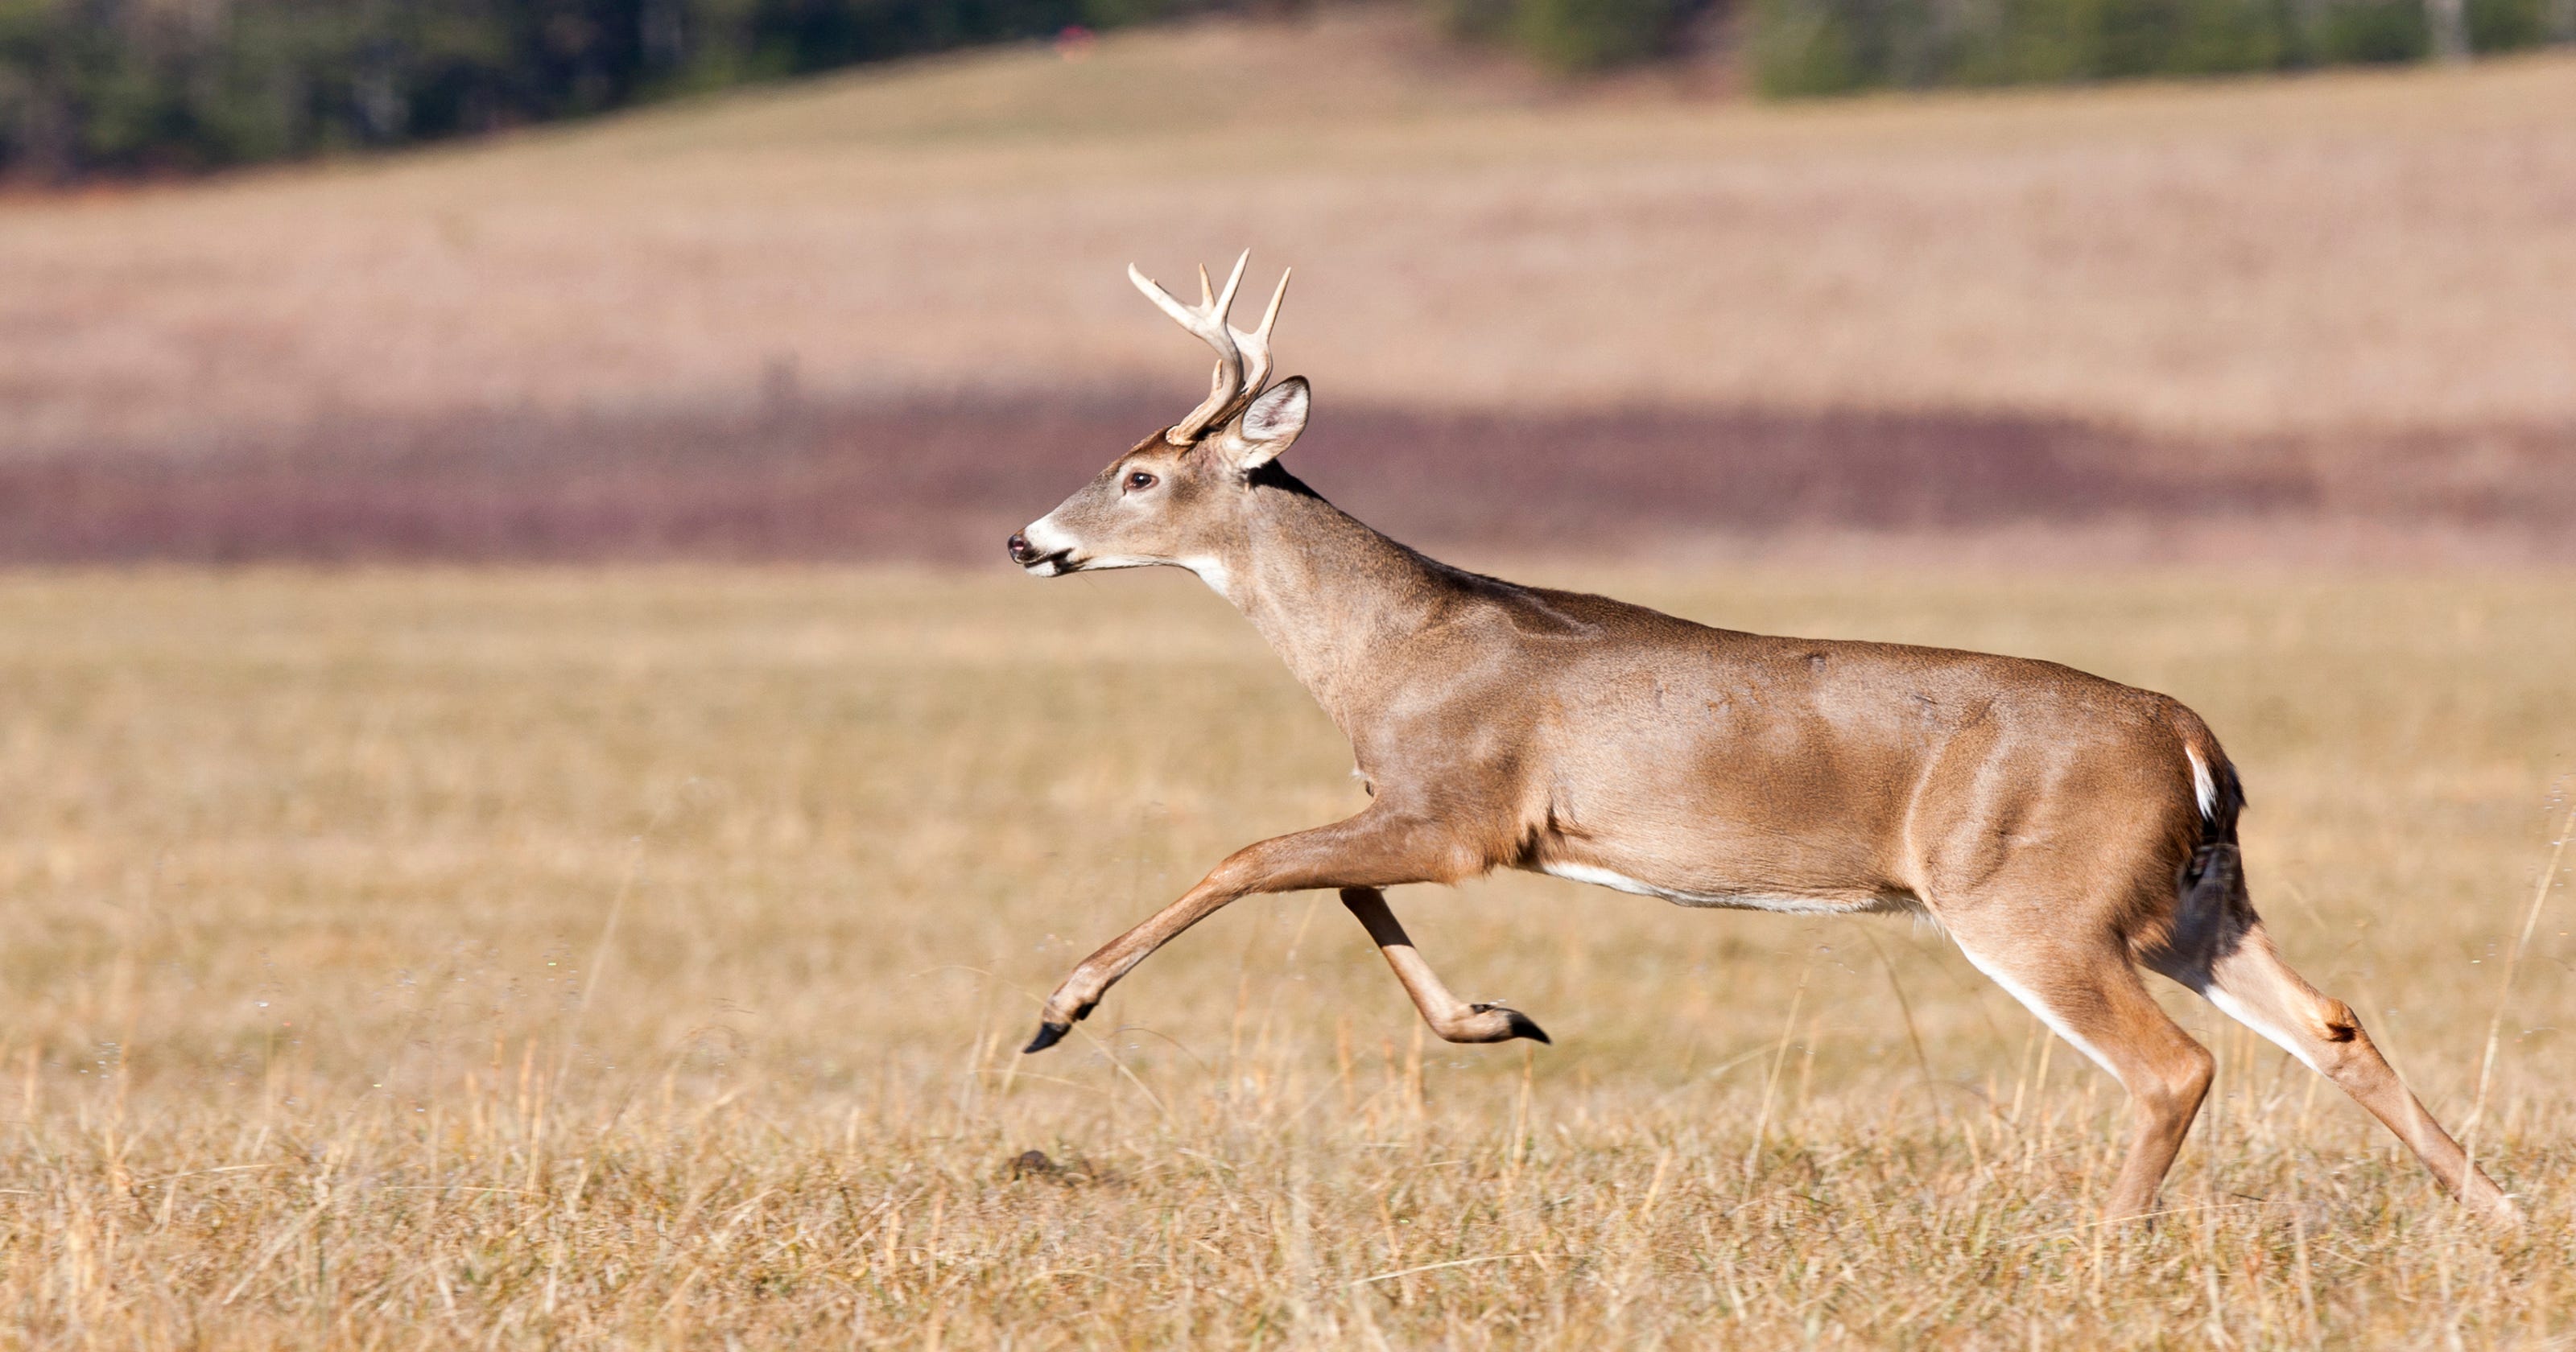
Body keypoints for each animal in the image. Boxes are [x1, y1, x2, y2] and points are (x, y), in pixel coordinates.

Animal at [1002, 253, 2517, 1224]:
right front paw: (1497, 1019)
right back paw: (2495, 1213)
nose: (1025, 539)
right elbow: (1332, 888)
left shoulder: (1461, 813)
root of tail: (2194, 740)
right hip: (2196, 902)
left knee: (2176, 1066)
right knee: (2333, 1023)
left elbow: (1250, 858)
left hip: (2030, 901)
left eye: (1139, 474)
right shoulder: (1432, 815)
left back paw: (2110, 1245)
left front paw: (1058, 1010)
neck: (1392, 646)